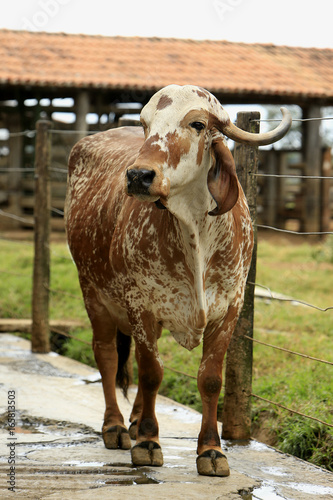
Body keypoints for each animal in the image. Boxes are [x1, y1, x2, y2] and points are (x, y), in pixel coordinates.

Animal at [64, 85, 288, 476]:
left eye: (197, 124)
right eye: (145, 123)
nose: (138, 176)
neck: (194, 229)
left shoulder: (229, 309)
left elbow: (210, 378)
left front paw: (211, 450)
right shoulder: (141, 305)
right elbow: (152, 372)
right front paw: (149, 442)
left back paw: (134, 421)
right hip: (92, 290)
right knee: (107, 355)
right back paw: (117, 426)